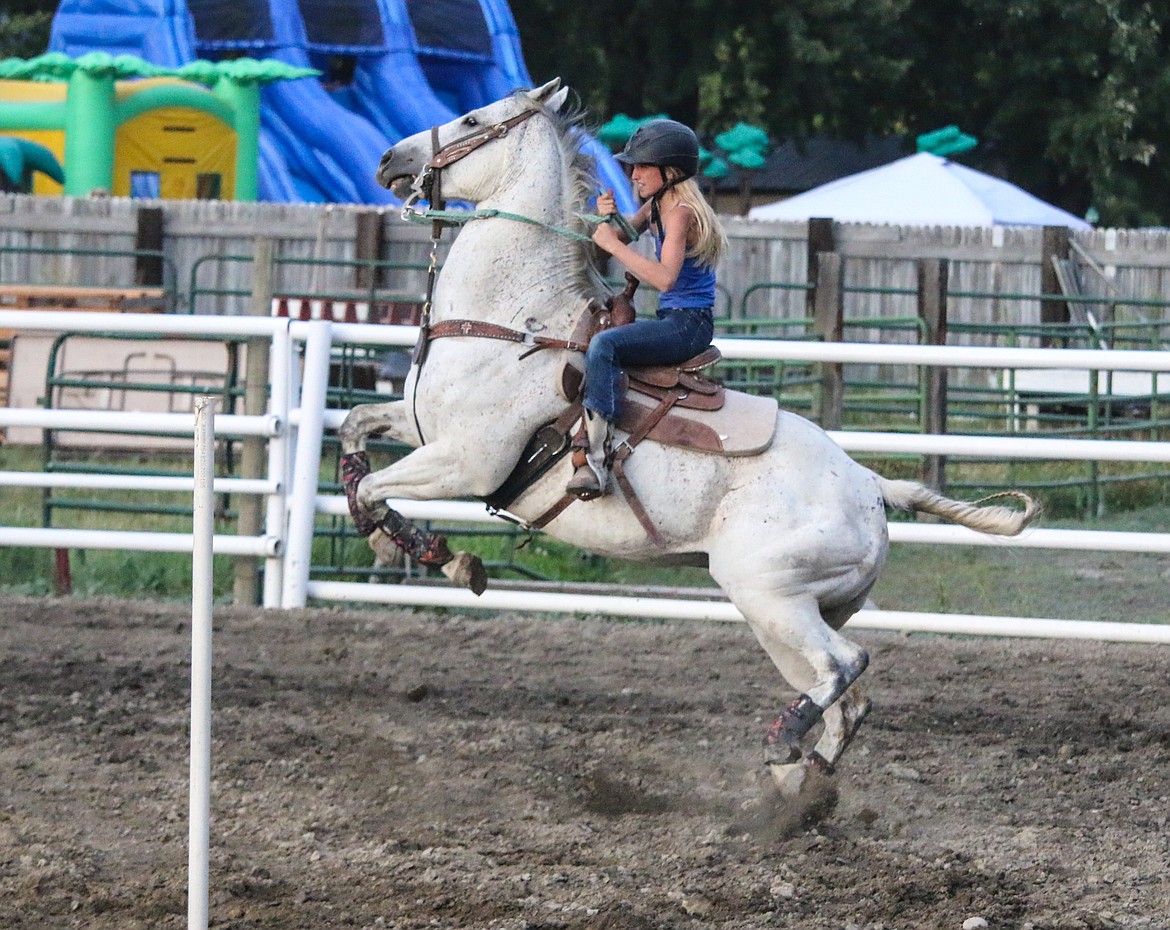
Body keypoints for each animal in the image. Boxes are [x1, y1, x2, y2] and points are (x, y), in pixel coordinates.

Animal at [341, 80, 1043, 790]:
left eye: (471, 118)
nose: (389, 158)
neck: (515, 326)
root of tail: (871, 486)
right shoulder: (423, 429)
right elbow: (354, 433)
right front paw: (399, 546)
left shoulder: (468, 461)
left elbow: (373, 487)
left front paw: (433, 552)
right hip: (792, 611)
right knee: (846, 704)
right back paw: (796, 790)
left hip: (769, 594)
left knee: (847, 666)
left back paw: (783, 746)